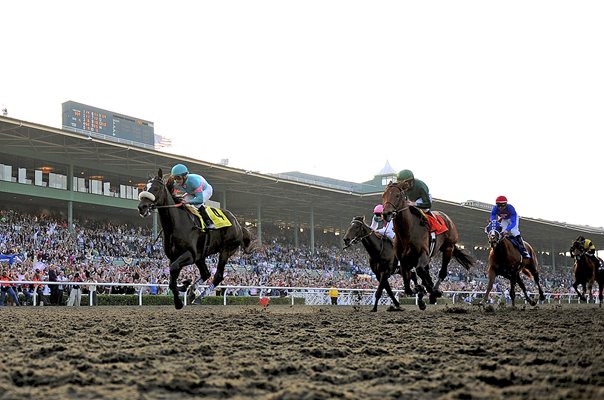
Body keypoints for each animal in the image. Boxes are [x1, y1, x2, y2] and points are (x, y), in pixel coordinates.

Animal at [137, 169, 255, 310]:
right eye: (145, 188)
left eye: (156, 188)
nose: (142, 207)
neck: (175, 224)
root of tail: (238, 225)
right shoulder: (174, 256)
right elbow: (172, 278)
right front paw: (184, 288)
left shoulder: (190, 255)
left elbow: (173, 271)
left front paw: (180, 297)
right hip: (201, 255)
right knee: (206, 273)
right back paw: (192, 291)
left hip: (225, 250)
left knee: (217, 276)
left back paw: (199, 297)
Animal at [382, 181, 476, 310]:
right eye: (384, 195)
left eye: (397, 195)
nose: (385, 213)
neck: (407, 231)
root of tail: (447, 218)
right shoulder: (404, 260)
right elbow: (408, 285)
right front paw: (420, 292)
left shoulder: (423, 254)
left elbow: (419, 271)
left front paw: (431, 292)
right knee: (425, 272)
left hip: (448, 248)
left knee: (442, 272)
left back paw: (434, 291)